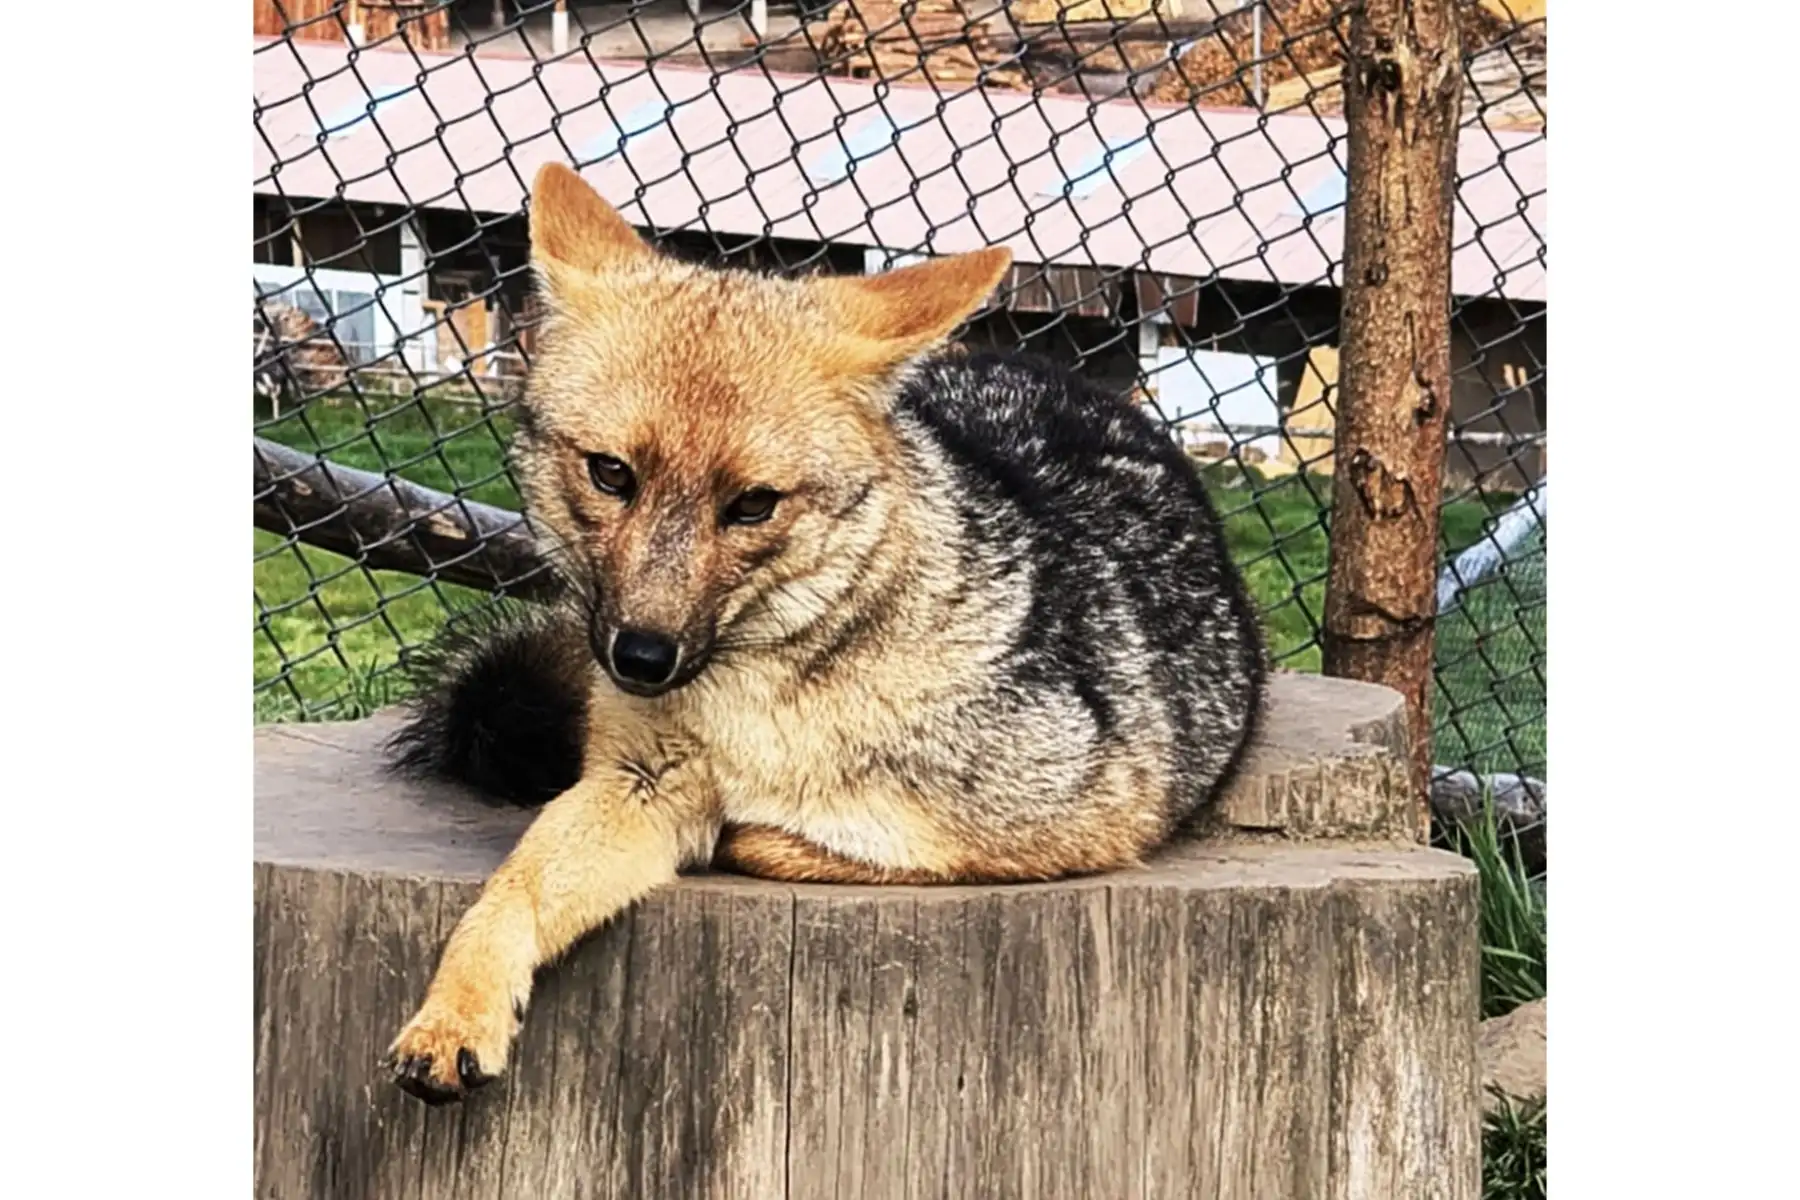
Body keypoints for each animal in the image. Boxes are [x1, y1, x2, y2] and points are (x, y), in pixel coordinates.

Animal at [381, 162, 1267, 1105]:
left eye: (753, 505)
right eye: (612, 474)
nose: (641, 658)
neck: (764, 709)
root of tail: (1052, 374)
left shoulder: (1093, 820)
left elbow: (802, 841)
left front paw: (759, 833)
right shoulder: (636, 782)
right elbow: (512, 887)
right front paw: (454, 1013)